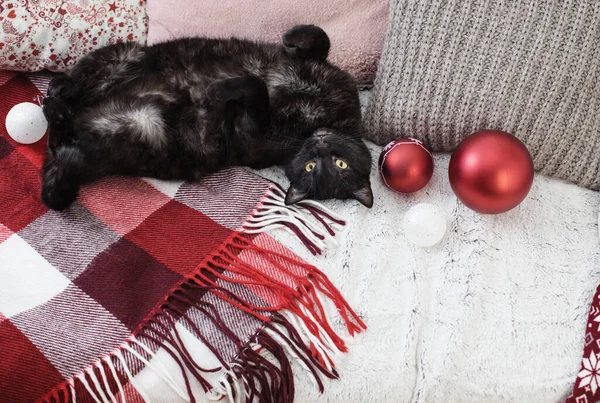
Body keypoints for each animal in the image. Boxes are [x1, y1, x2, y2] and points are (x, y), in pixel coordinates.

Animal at [39, 24, 372, 211]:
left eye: (337, 165)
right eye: (314, 164)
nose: (319, 145)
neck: (324, 116)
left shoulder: (255, 140)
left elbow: (256, 85)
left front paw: (215, 91)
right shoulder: (326, 72)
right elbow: (319, 38)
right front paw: (292, 38)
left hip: (135, 126)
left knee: (58, 160)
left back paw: (57, 114)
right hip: (123, 54)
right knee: (73, 90)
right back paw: (59, 92)